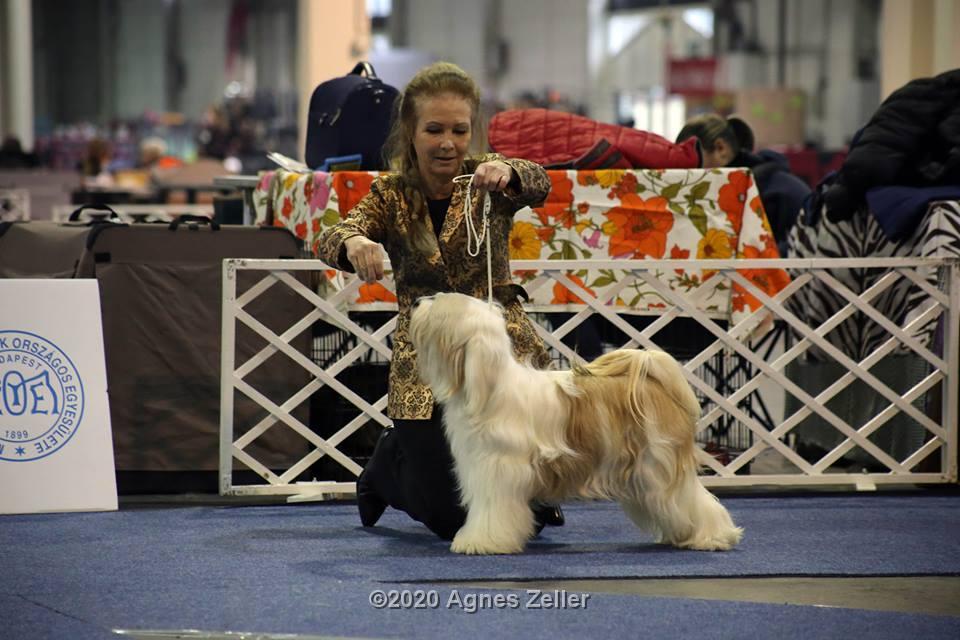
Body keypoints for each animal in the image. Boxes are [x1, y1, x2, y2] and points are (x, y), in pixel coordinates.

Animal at [408, 292, 748, 552]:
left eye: (439, 304)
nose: (417, 301)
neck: (488, 388)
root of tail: (654, 379)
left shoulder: (498, 472)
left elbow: (492, 511)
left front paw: (481, 542)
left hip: (658, 465)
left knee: (692, 500)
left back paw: (715, 537)